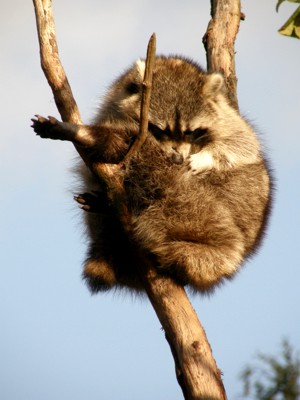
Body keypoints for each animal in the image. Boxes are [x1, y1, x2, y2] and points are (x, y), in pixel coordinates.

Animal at [31, 55, 274, 294]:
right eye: (160, 129)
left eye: (190, 133)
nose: (177, 159)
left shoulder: (228, 120)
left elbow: (243, 142)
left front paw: (204, 157)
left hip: (204, 213)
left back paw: (91, 138)